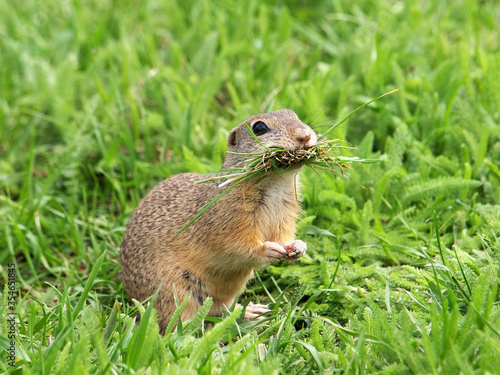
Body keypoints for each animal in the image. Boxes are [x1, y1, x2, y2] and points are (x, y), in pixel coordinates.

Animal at [119, 110, 318, 334]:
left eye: (294, 114)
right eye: (259, 128)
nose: (305, 136)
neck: (276, 184)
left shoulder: (284, 217)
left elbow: (284, 237)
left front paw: (299, 246)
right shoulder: (228, 221)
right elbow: (239, 246)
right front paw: (269, 250)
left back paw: (249, 311)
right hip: (175, 293)